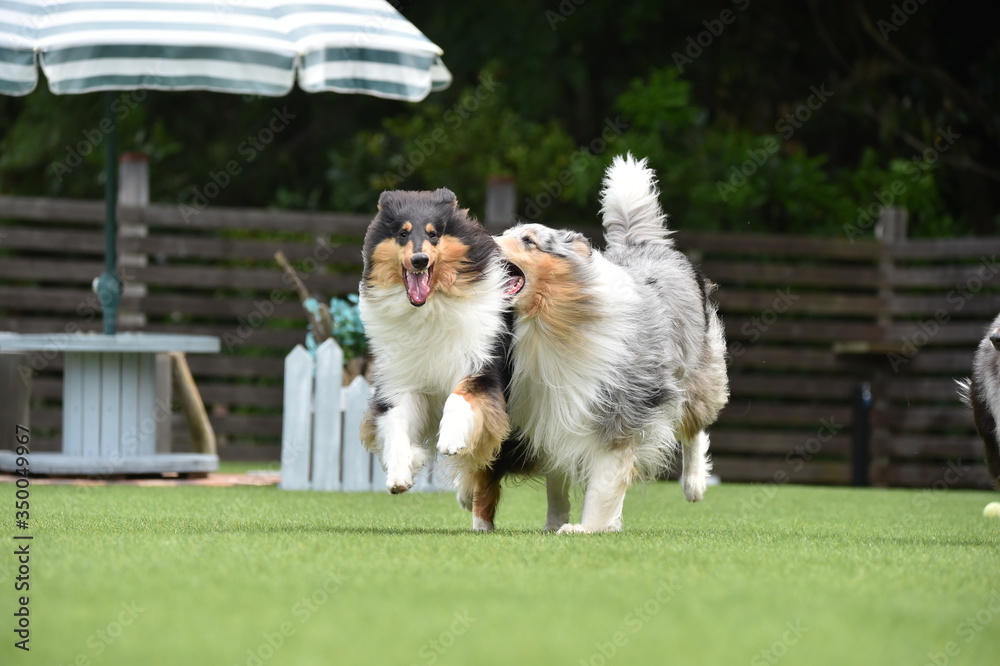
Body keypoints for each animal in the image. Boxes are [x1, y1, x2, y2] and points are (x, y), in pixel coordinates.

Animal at [360, 187, 548, 528]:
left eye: (434, 234)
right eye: (403, 233)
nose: (419, 260)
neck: (430, 307)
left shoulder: (482, 367)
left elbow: (459, 397)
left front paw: (450, 439)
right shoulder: (400, 381)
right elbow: (396, 427)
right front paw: (401, 472)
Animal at [498, 153, 728, 532]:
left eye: (528, 240)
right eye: (503, 234)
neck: (554, 321)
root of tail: (641, 244)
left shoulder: (624, 405)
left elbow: (605, 477)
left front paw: (587, 527)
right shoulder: (552, 404)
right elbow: (557, 477)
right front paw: (556, 524)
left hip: (695, 375)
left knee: (695, 426)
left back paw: (694, 484)